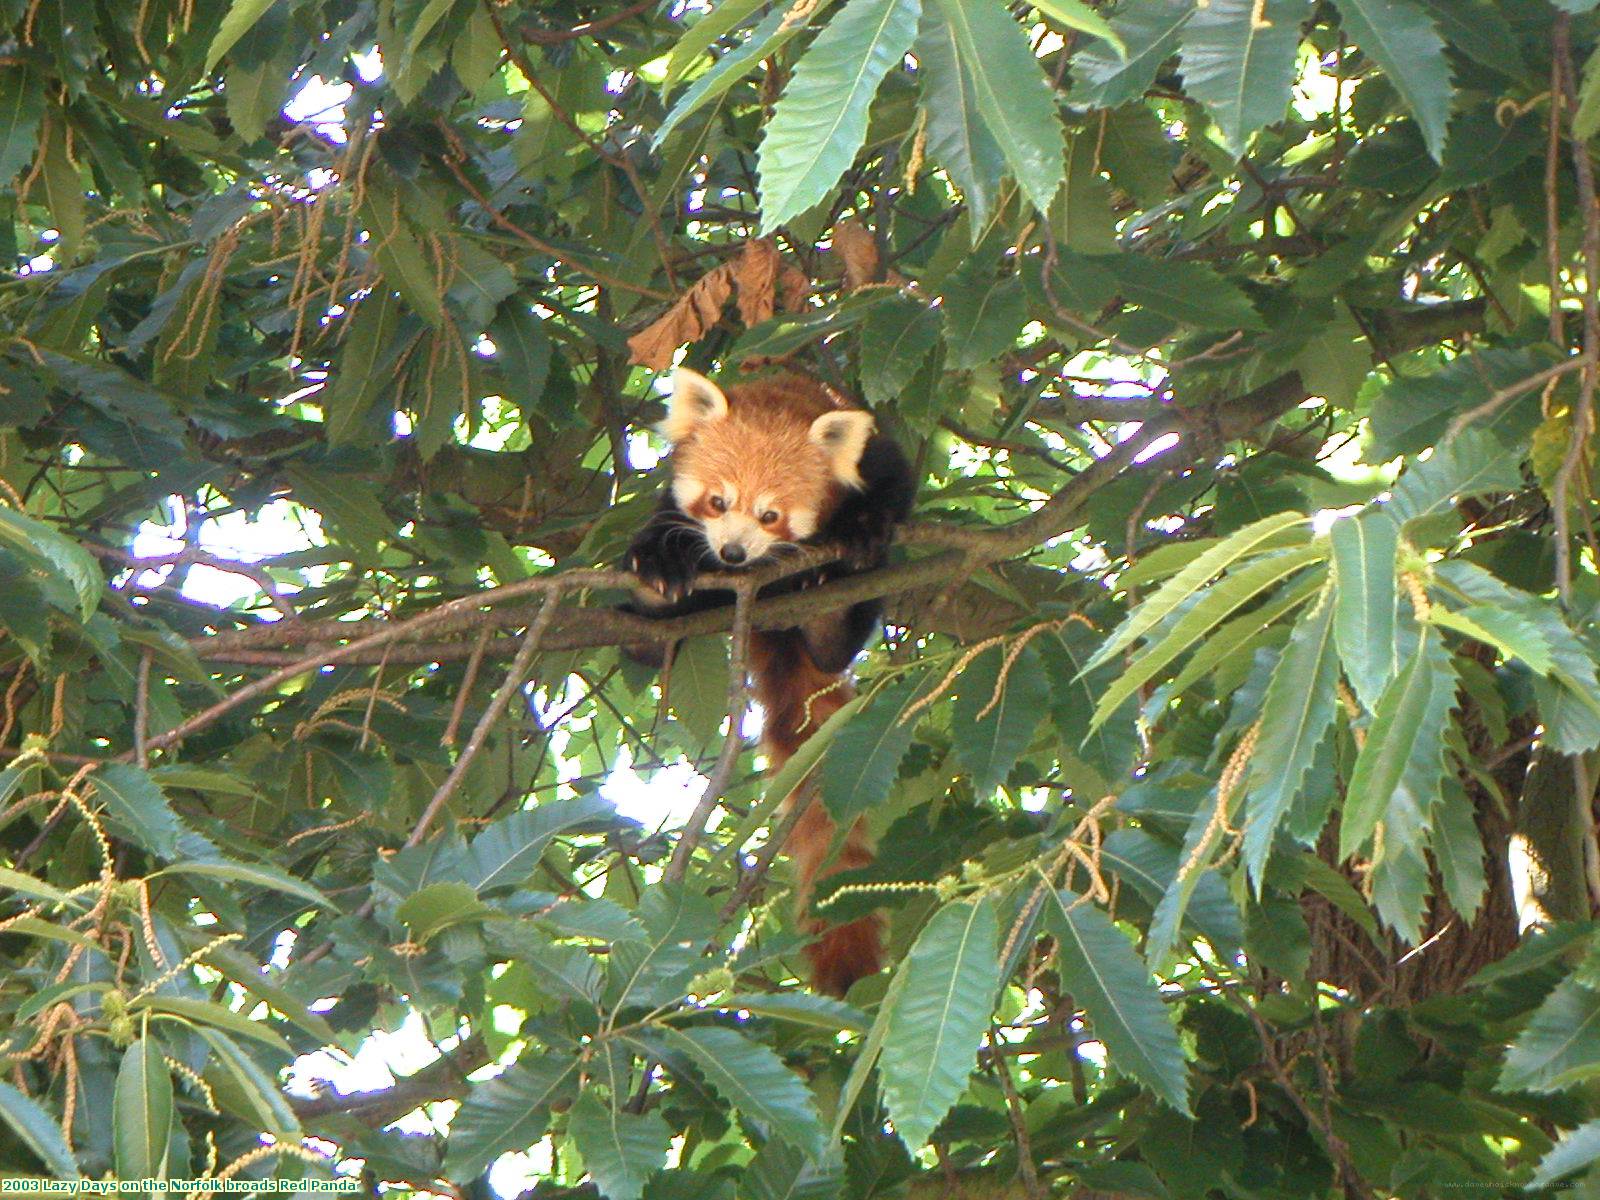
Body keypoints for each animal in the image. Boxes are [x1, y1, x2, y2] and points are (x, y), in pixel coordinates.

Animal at [630, 371, 921, 998]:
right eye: (718, 501)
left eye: (771, 516)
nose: (733, 553)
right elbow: (664, 523)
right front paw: (658, 561)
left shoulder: (878, 456)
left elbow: (892, 487)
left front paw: (863, 529)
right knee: (649, 638)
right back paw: (654, 614)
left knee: (838, 636)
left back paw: (828, 614)